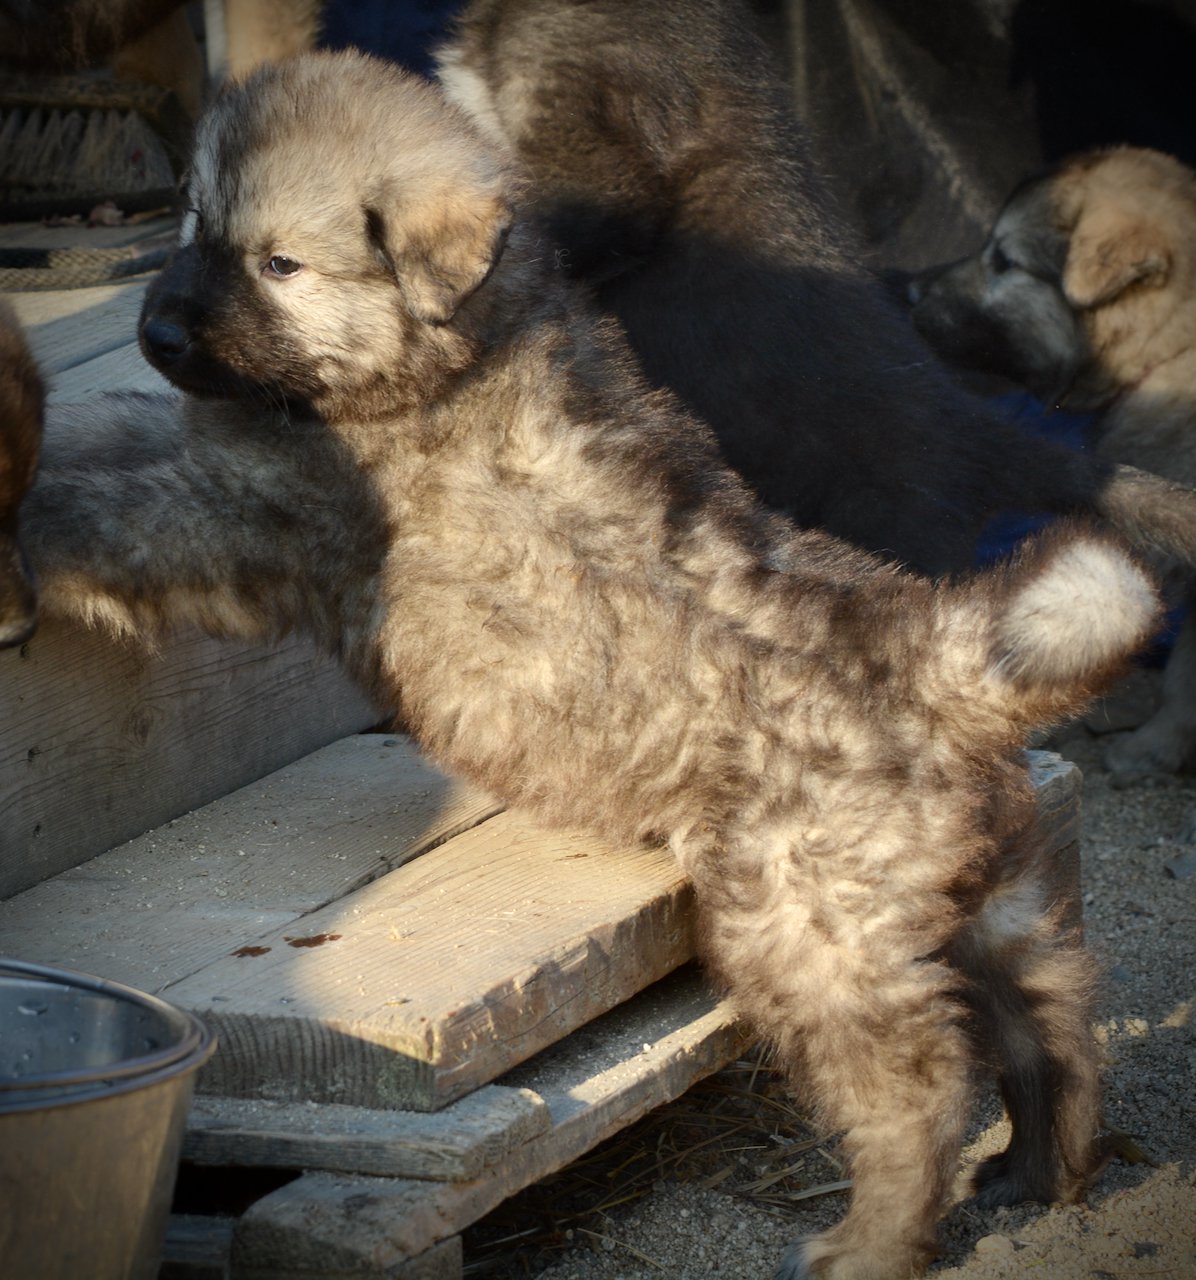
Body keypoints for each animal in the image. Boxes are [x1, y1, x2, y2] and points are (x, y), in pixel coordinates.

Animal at [23, 52, 1167, 1280]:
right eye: (194, 224)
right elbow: (111, 437)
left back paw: (867, 1239)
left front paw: (22, 535)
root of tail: (945, 664)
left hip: (807, 926)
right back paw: (1039, 1170)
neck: (454, 344)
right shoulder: (218, 449)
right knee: (1053, 1015)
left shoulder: (244, 506)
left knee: (916, 1082)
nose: (158, 332)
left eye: (279, 262)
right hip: (998, 893)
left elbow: (113, 508)